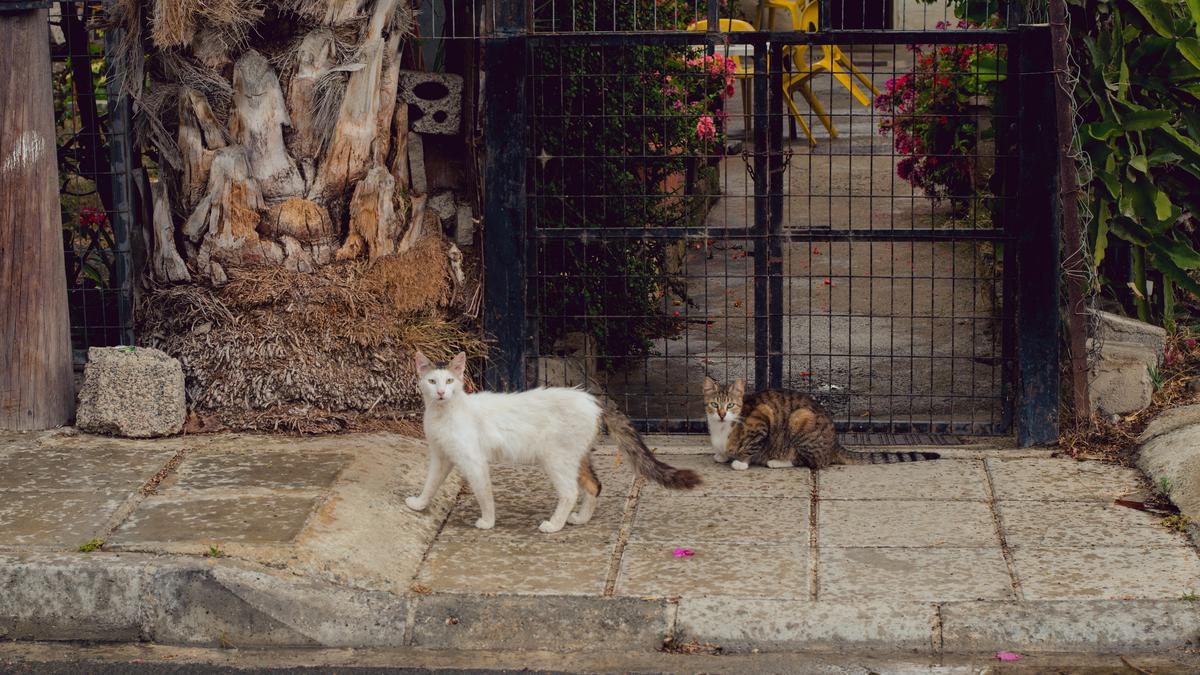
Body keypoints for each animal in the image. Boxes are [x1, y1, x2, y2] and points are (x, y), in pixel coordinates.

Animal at [408, 353, 700, 530]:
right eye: (432, 380)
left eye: (450, 380)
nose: (441, 392)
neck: (444, 413)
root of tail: (593, 400)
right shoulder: (442, 457)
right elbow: (431, 483)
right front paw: (420, 504)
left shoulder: (473, 462)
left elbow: (484, 493)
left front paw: (488, 522)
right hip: (575, 457)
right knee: (595, 486)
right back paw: (580, 519)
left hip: (556, 459)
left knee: (570, 492)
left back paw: (554, 525)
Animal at [700, 374, 940, 470]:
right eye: (714, 404)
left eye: (731, 405)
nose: (721, 414)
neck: (721, 429)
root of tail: (834, 444)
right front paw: (722, 455)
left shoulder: (762, 420)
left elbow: (751, 446)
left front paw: (740, 461)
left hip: (800, 419)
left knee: (812, 462)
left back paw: (777, 462)